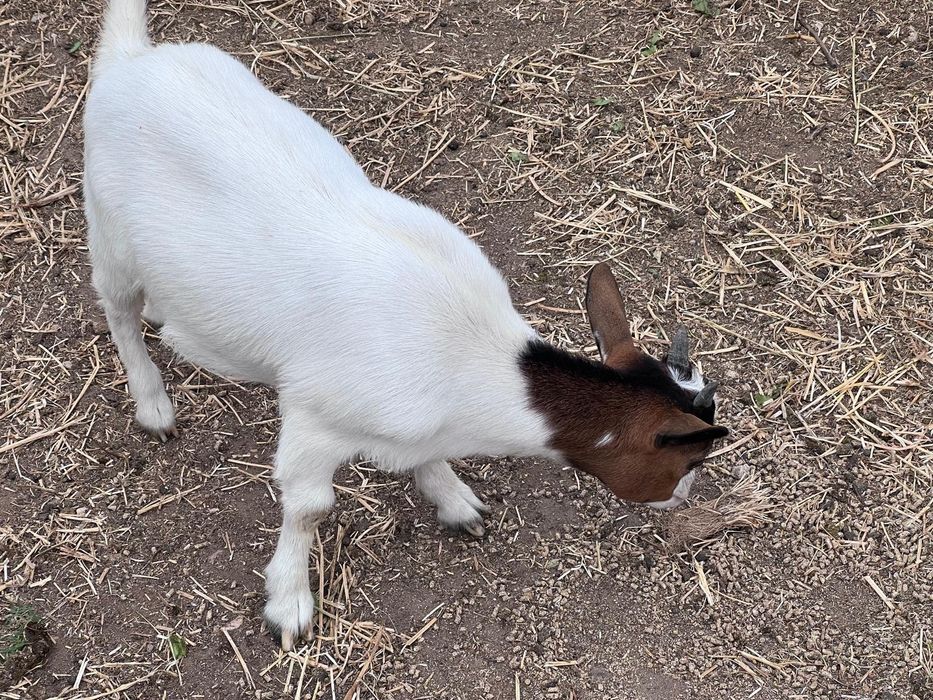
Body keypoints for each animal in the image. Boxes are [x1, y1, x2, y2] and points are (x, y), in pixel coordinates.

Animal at [84, 0, 728, 650]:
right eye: (691, 460)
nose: (680, 501)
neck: (472, 353)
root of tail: (131, 60)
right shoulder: (315, 418)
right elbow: (308, 507)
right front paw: (289, 603)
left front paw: (455, 501)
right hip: (107, 229)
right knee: (117, 310)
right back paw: (153, 404)